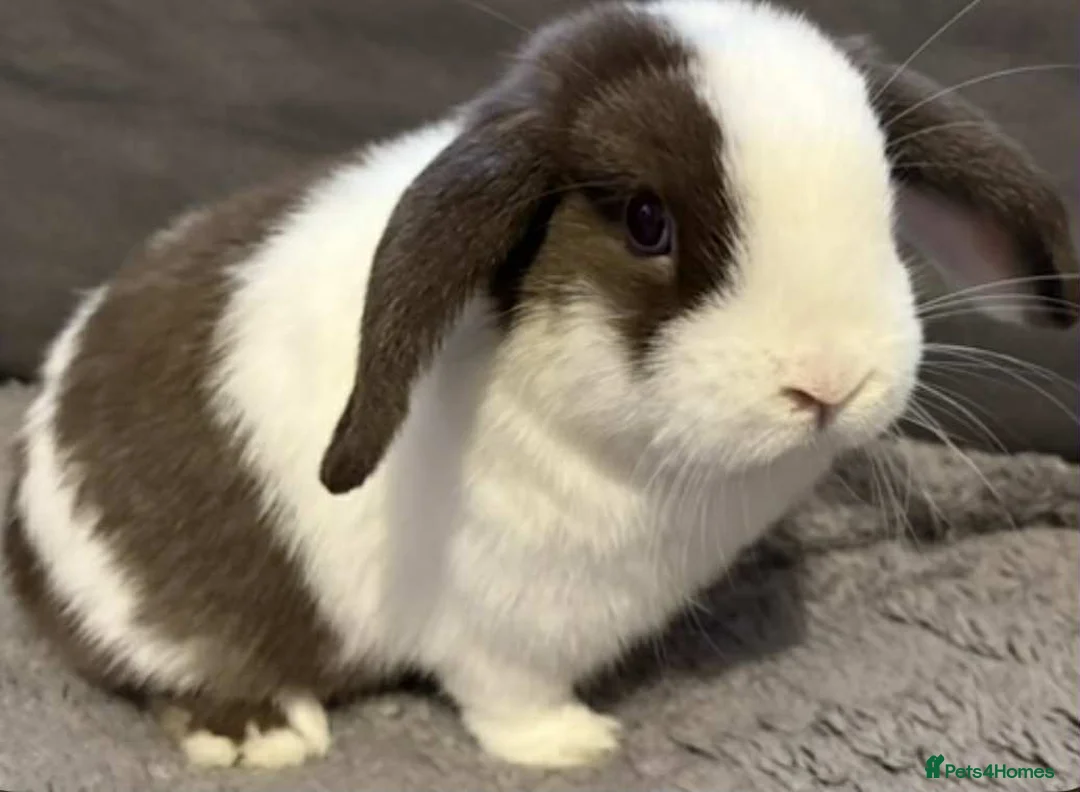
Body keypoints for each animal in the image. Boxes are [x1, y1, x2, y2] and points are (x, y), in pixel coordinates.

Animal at [4, 0, 1077, 772]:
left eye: (885, 204)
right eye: (646, 221)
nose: (828, 383)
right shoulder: (500, 630)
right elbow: (506, 698)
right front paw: (574, 744)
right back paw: (265, 734)